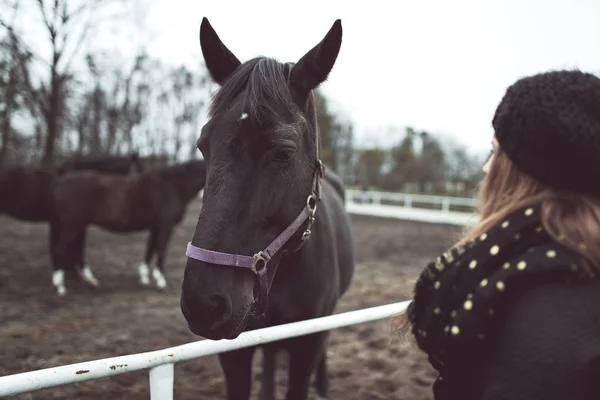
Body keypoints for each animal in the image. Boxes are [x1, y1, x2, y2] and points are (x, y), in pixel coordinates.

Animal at [51, 161, 206, 296]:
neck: (172, 186)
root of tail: (61, 182)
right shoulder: (165, 226)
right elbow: (161, 251)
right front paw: (161, 281)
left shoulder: (155, 227)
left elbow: (150, 250)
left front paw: (144, 278)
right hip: (72, 225)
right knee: (61, 249)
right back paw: (60, 287)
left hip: (80, 226)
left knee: (77, 251)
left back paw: (91, 281)